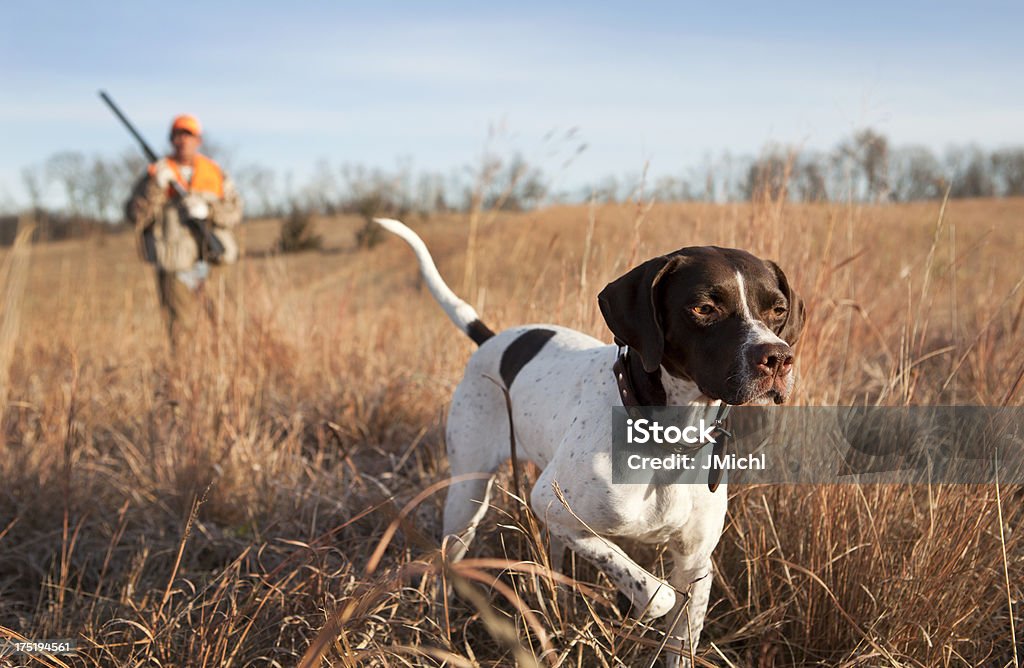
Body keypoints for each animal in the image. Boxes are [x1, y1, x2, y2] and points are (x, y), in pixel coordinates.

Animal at [372, 220, 802, 667]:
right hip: (467, 499)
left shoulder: (695, 563)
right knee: (447, 566)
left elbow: (678, 634)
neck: (668, 441)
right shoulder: (551, 504)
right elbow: (655, 593)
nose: (778, 358)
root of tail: (490, 341)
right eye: (704, 308)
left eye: (778, 310)